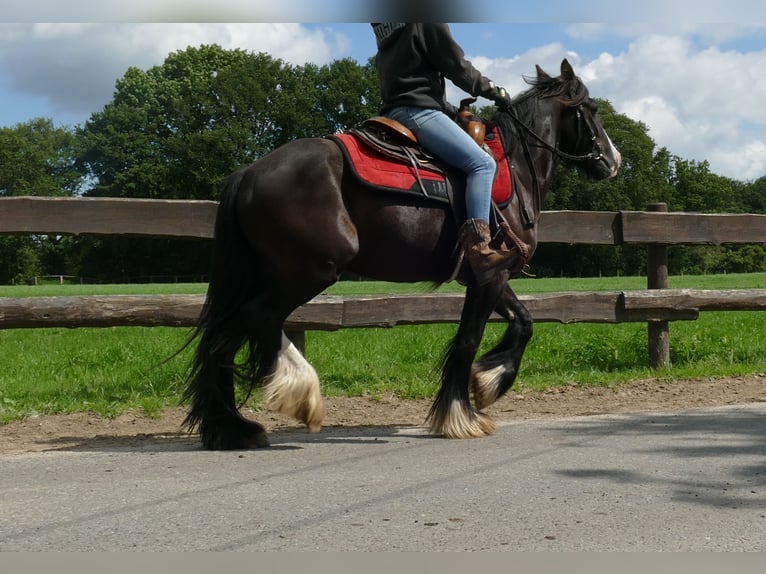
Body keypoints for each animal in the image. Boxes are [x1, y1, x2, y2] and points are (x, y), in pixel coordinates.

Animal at [183, 60, 620, 452]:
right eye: (592, 109)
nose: (613, 161)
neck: (512, 169)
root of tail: (248, 173)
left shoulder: (488, 274)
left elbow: (524, 322)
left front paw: (488, 381)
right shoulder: (489, 278)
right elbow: (469, 339)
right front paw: (461, 414)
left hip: (268, 273)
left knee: (222, 338)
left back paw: (231, 429)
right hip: (308, 271)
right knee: (257, 319)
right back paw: (296, 397)